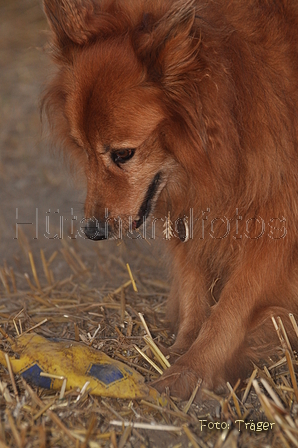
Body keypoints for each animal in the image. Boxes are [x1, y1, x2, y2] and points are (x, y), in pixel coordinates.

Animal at [42, 0, 298, 400]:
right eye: (81, 148)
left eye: (123, 154)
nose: (93, 232)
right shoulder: (189, 206)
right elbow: (194, 285)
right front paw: (181, 349)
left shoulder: (276, 225)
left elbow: (232, 307)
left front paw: (192, 370)